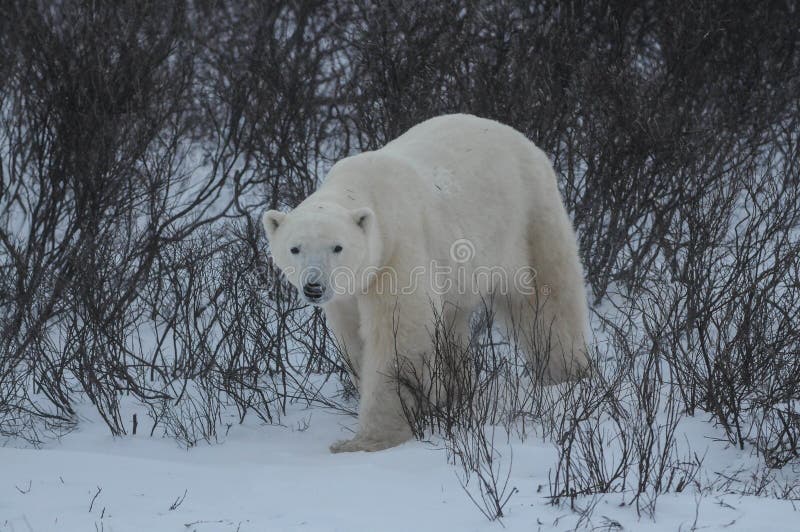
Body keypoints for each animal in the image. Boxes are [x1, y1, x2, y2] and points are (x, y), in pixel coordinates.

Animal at [262, 113, 588, 454]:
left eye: (337, 247)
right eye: (295, 248)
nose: (314, 287)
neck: (365, 189)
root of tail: (519, 136)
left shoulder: (397, 251)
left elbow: (398, 336)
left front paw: (365, 441)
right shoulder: (346, 294)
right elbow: (354, 339)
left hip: (529, 215)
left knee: (547, 299)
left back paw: (566, 372)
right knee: (453, 323)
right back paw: (456, 391)